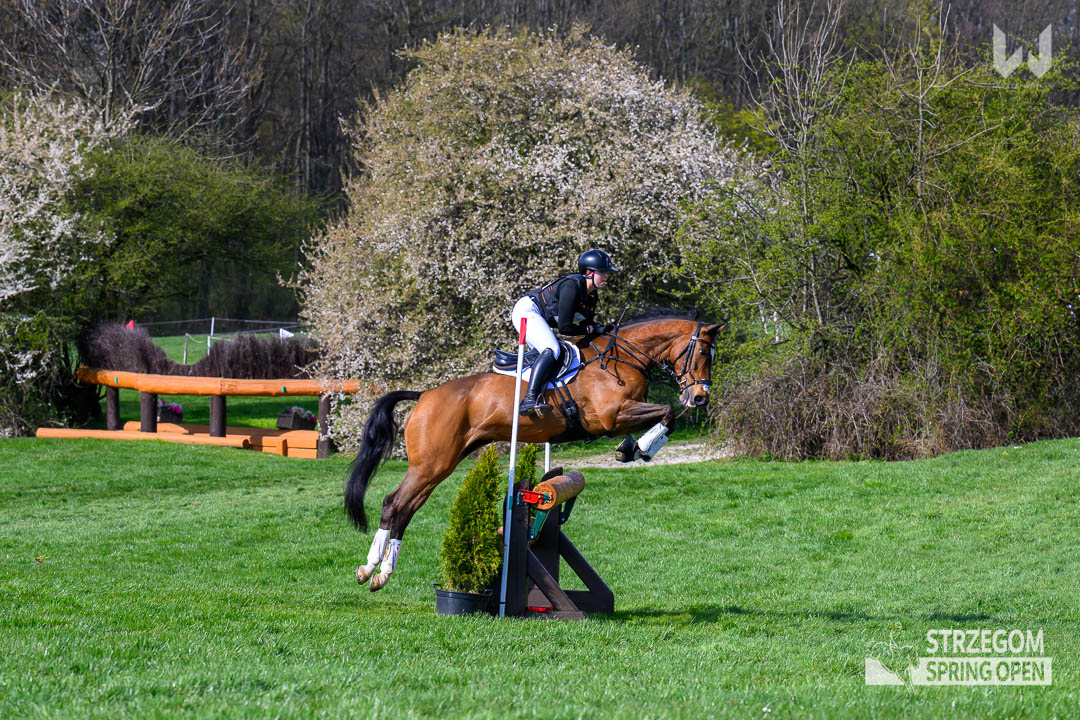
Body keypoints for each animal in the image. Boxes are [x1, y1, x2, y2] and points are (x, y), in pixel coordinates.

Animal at [345, 313, 722, 591]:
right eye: (703, 354)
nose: (700, 397)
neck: (623, 357)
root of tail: (424, 395)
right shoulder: (612, 417)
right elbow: (667, 412)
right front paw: (638, 448)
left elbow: (667, 416)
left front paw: (635, 448)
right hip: (431, 464)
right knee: (393, 503)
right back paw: (369, 568)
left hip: (439, 465)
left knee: (407, 508)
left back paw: (381, 573)